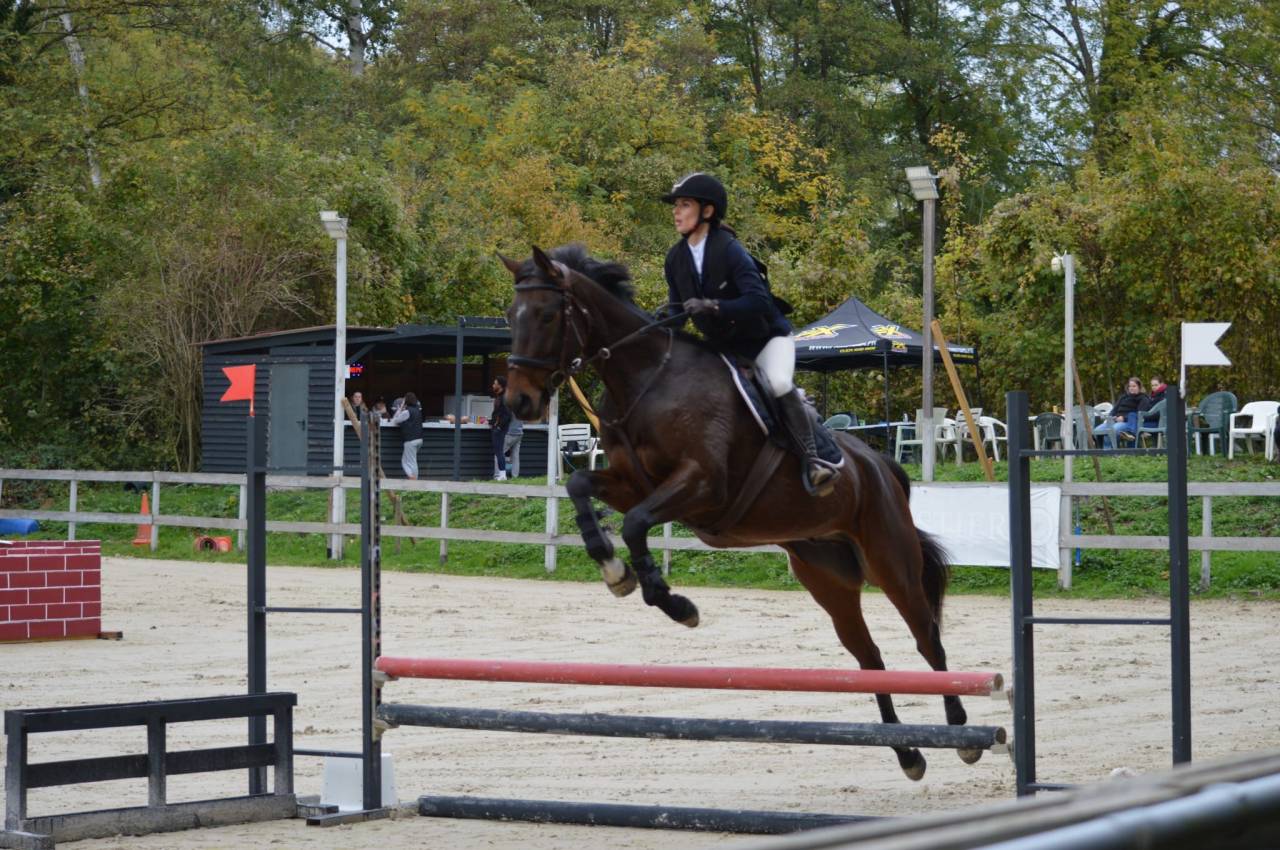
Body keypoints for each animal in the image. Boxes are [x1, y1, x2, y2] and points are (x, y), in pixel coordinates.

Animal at [499, 243, 979, 781]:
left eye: (546, 315)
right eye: (510, 316)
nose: (519, 401)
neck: (645, 379)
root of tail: (882, 466)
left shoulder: (704, 486)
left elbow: (636, 523)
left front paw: (674, 604)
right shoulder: (631, 483)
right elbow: (581, 486)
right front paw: (613, 570)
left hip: (890, 561)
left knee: (927, 638)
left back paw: (962, 736)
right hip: (827, 578)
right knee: (869, 657)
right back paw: (908, 753)